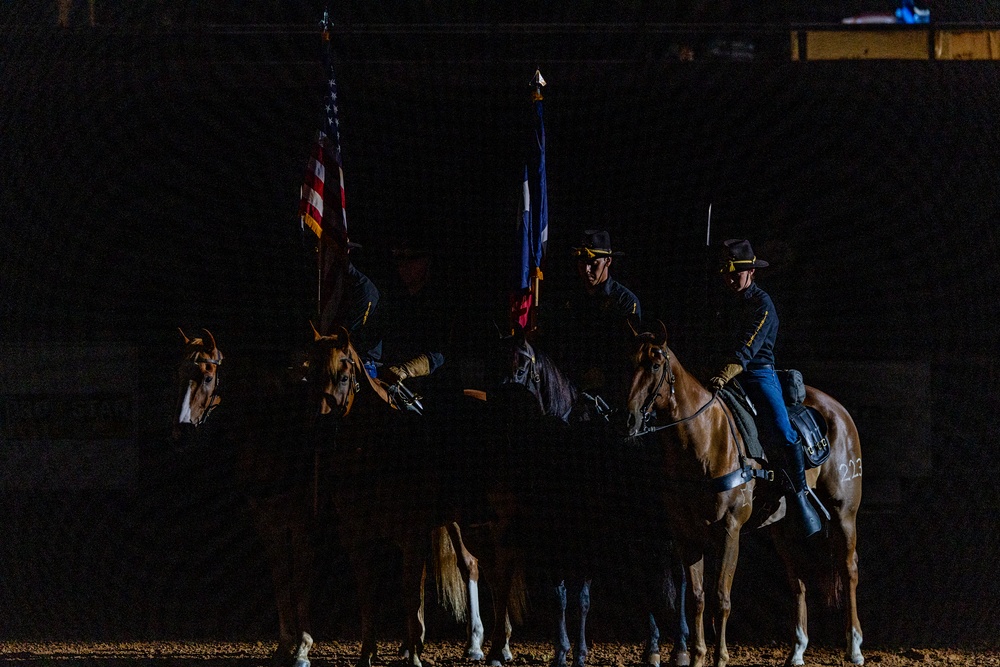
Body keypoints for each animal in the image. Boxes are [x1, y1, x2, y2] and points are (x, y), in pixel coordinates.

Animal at [494, 334, 684, 667]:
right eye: (497, 362)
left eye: (522, 366)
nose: (503, 406)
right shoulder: (551, 541)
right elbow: (559, 599)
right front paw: (561, 653)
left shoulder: (588, 542)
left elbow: (582, 600)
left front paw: (580, 655)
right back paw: (653, 648)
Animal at [624, 328, 868, 667]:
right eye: (629, 363)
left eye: (655, 365)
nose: (630, 419)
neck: (705, 439)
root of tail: (839, 412)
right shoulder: (686, 535)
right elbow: (698, 598)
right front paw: (698, 656)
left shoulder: (730, 529)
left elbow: (721, 599)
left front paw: (720, 658)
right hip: (783, 529)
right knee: (798, 581)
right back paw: (797, 650)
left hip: (844, 511)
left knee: (849, 570)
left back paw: (854, 647)